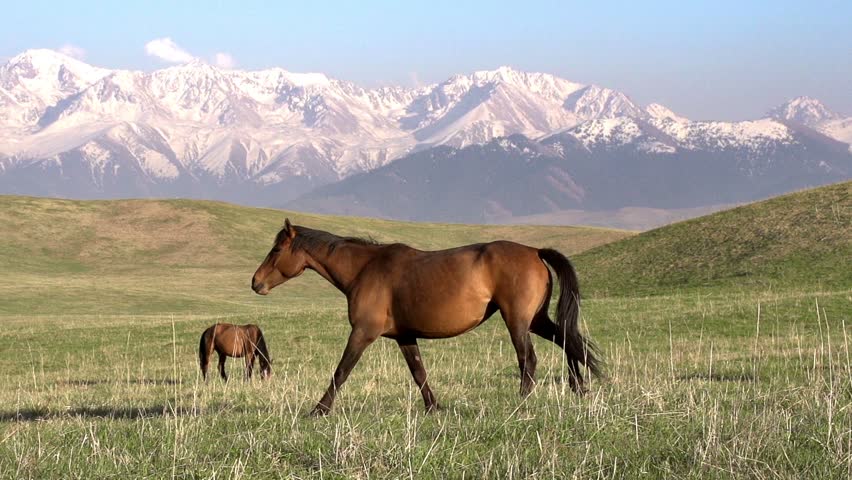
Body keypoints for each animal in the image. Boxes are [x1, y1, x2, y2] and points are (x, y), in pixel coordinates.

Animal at [251, 219, 601, 416]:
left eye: (275, 250)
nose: (256, 283)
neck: (365, 269)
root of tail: (534, 251)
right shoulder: (405, 336)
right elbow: (419, 373)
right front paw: (434, 407)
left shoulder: (363, 333)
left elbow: (341, 371)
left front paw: (319, 410)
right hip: (536, 320)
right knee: (567, 340)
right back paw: (579, 388)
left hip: (517, 322)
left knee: (529, 358)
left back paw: (523, 401)